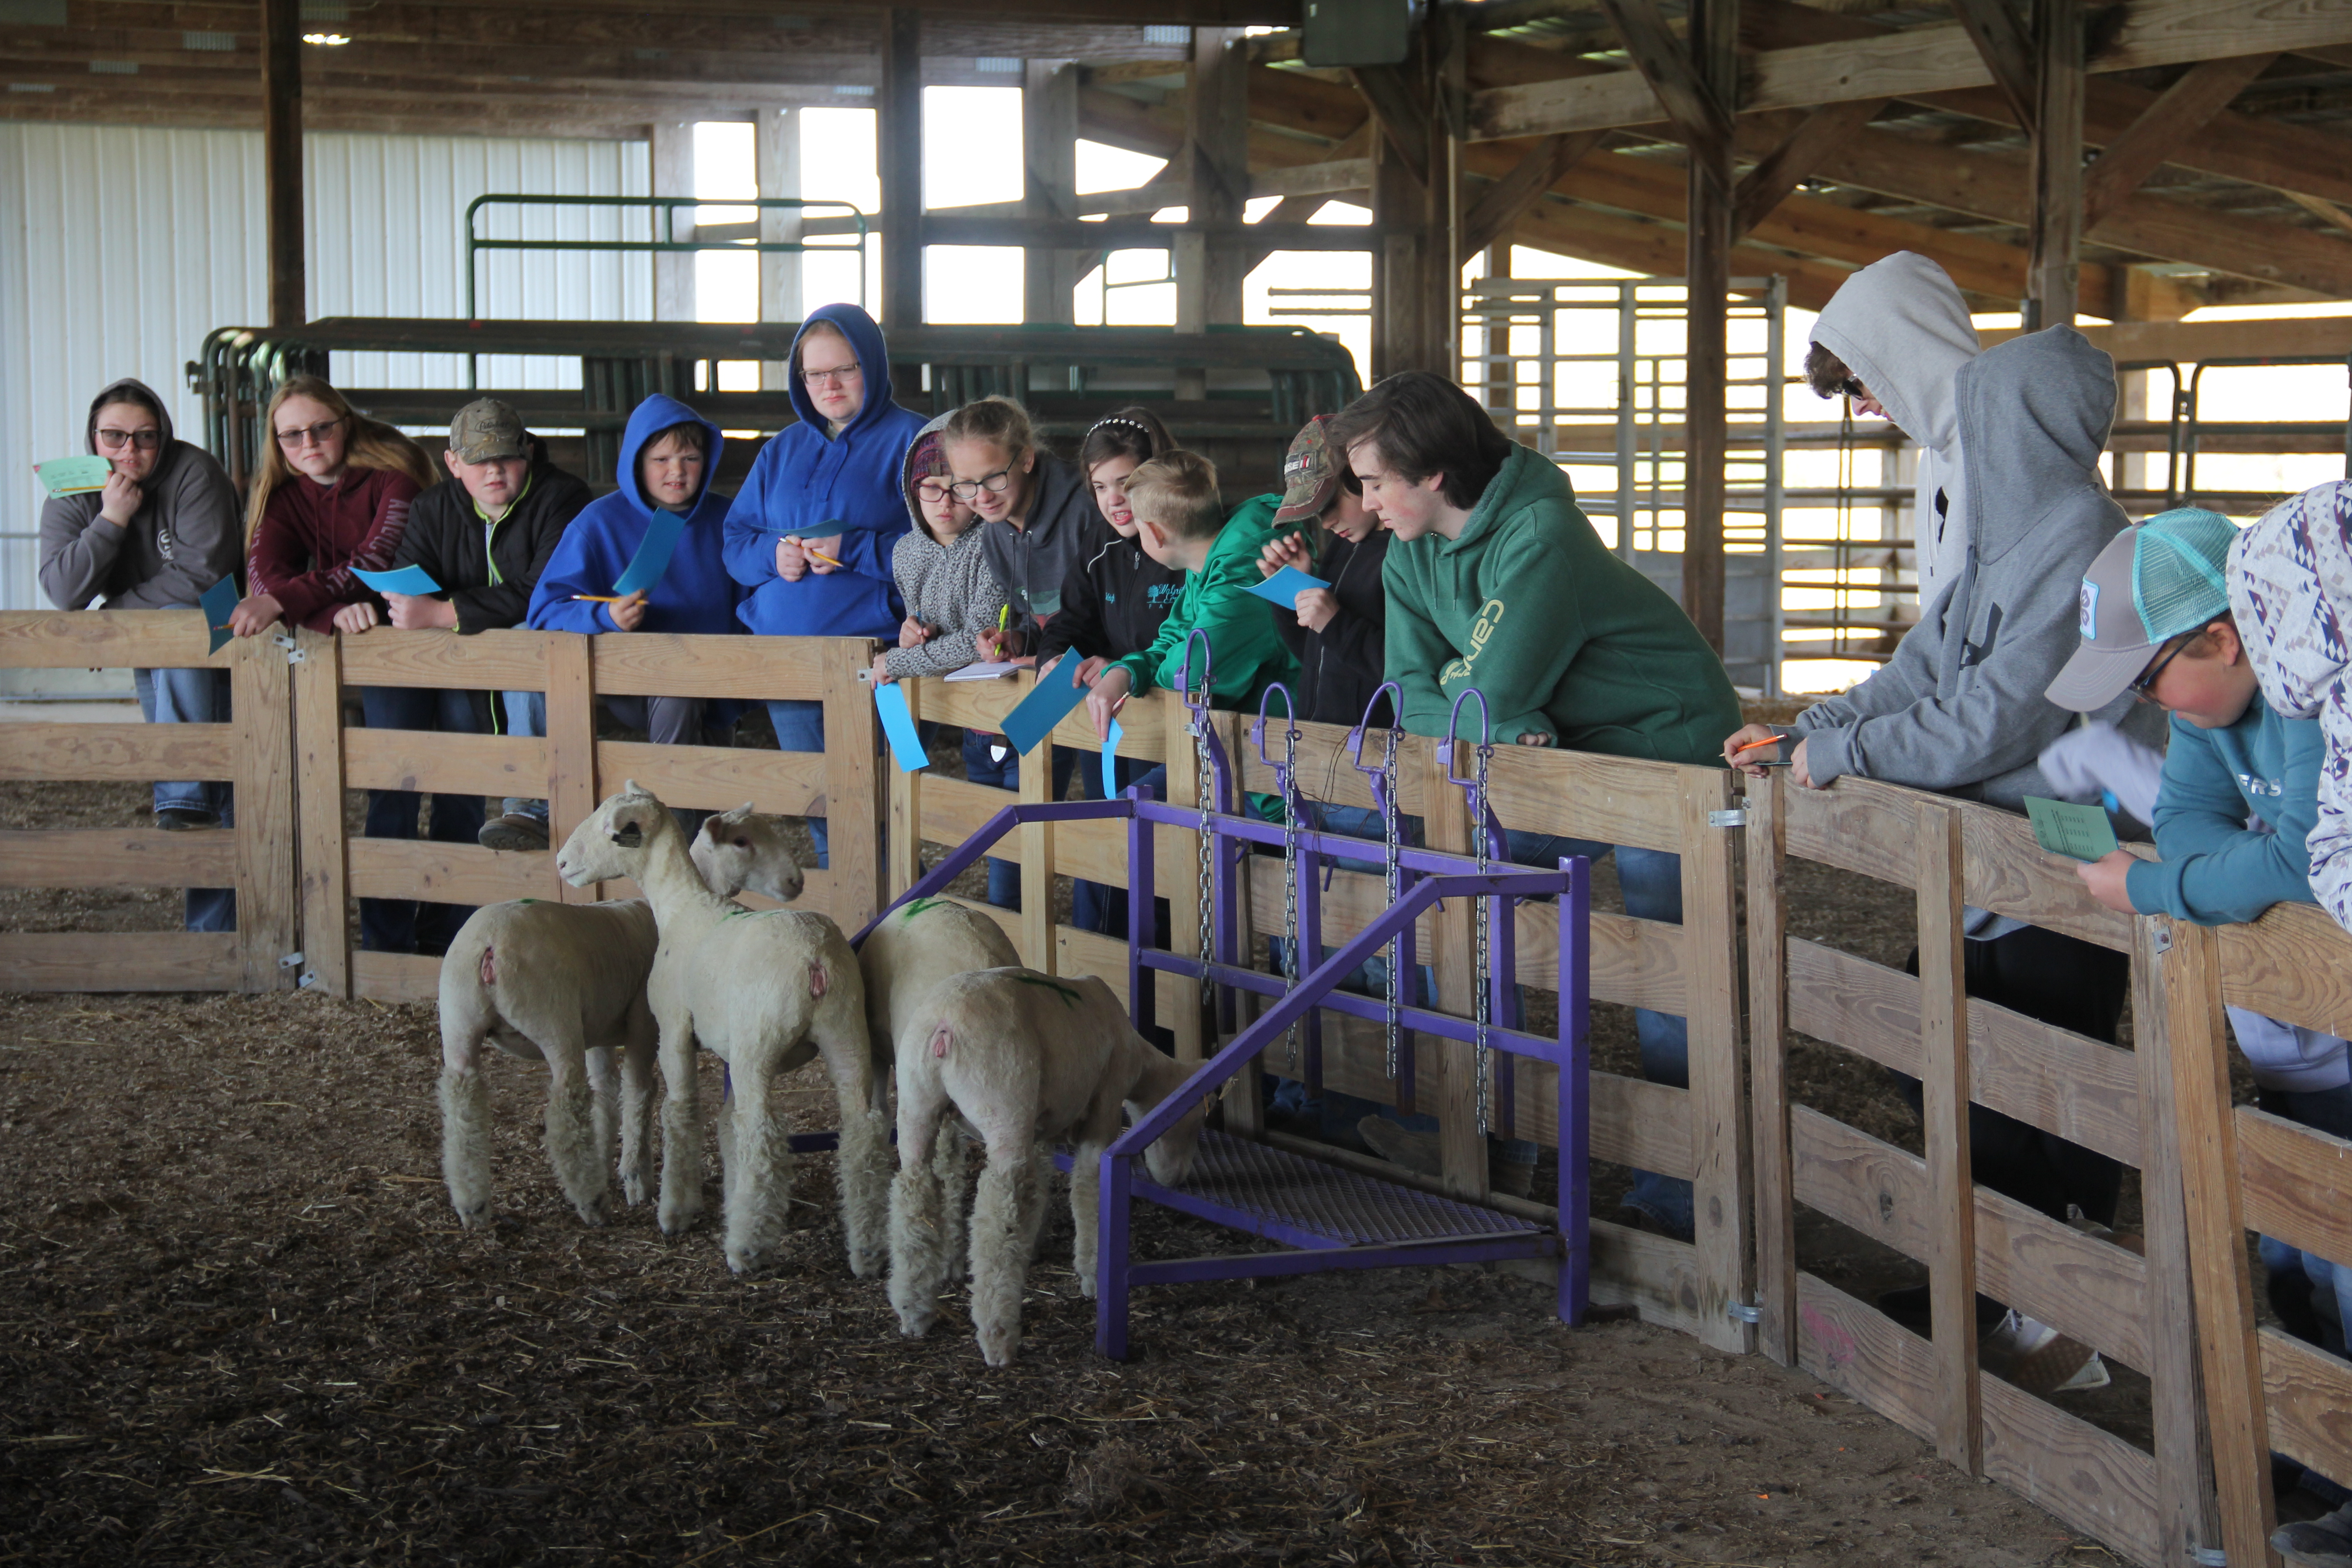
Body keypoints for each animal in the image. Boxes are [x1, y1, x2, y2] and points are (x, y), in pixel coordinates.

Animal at [437, 804, 804, 1232]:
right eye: (742, 841)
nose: (796, 881)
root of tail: (490, 946)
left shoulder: (596, 1032)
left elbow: (606, 1095)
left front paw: (606, 1159)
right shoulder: (644, 1027)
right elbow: (639, 1093)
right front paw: (636, 1179)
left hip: (458, 1021)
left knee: (462, 1103)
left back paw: (473, 1207)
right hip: (553, 1021)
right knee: (565, 1105)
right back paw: (592, 1203)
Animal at [553, 780, 889, 1279]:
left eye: (615, 833)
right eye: (744, 840)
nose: (561, 863)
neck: (683, 907)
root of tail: (816, 959)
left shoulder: (674, 1029)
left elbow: (680, 1112)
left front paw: (675, 1212)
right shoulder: (727, 1050)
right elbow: (726, 1125)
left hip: (758, 1045)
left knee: (762, 1136)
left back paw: (746, 1249)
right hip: (847, 1036)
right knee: (860, 1132)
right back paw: (867, 1252)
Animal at [884, 973, 1204, 1363]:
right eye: (1196, 1119)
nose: (1178, 1178)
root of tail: (943, 1027)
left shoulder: (1040, 1130)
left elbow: (1040, 1186)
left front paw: (1035, 1243)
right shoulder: (1105, 1108)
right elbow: (1089, 1191)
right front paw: (1092, 1275)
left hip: (916, 1102)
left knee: (913, 1196)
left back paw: (914, 1312)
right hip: (1002, 1101)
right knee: (998, 1218)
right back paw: (998, 1338)